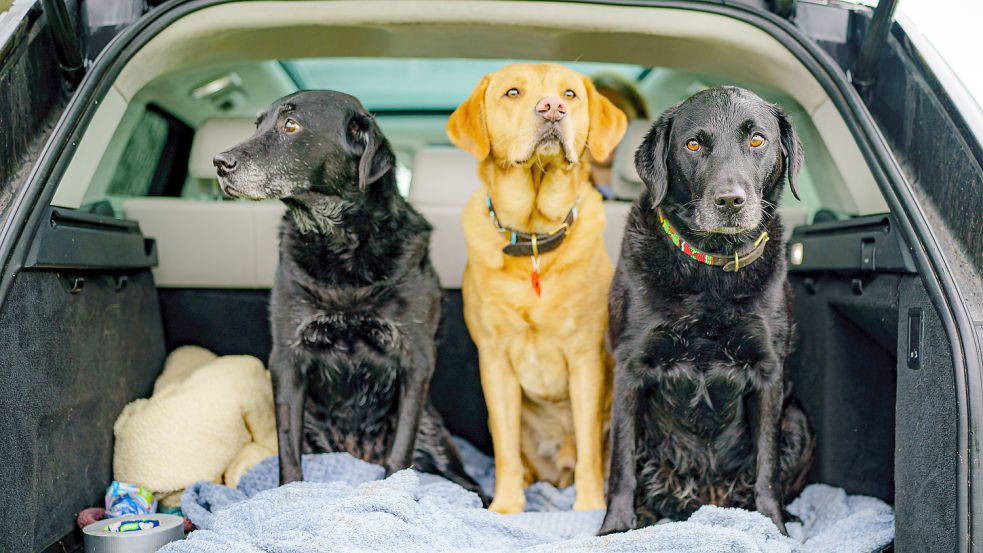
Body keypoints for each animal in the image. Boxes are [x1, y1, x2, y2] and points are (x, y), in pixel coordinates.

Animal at [218, 91, 488, 500]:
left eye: (291, 125)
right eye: (257, 125)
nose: (219, 163)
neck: (340, 245)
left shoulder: (416, 358)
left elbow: (400, 451)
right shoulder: (287, 357)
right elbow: (287, 447)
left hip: (433, 432)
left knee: (468, 485)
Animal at [450, 63, 628, 512]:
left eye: (570, 94)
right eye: (513, 92)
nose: (552, 108)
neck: (533, 239)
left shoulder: (585, 359)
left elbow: (588, 447)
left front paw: (589, 505)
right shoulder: (494, 361)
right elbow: (505, 448)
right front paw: (507, 505)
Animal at [600, 86, 816, 536]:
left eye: (757, 140)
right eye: (694, 145)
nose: (729, 200)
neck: (710, 268)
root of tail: (704, 499)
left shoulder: (768, 372)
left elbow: (767, 467)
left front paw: (774, 527)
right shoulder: (628, 370)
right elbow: (622, 466)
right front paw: (615, 527)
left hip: (798, 422)